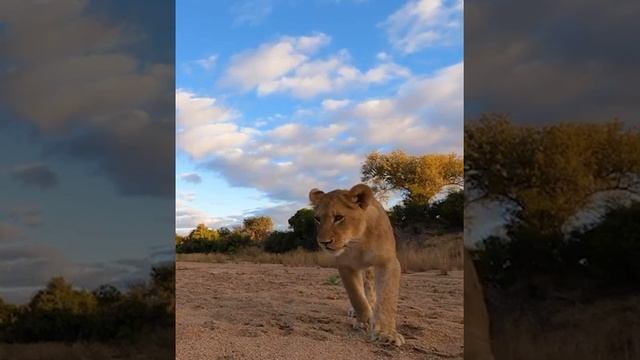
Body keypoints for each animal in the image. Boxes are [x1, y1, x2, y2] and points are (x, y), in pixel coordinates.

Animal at [308, 183, 402, 346]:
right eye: (317, 219)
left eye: (339, 217)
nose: (323, 242)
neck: (358, 241)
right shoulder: (346, 266)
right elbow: (356, 296)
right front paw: (364, 322)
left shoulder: (387, 262)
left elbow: (386, 298)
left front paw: (387, 334)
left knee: (370, 286)